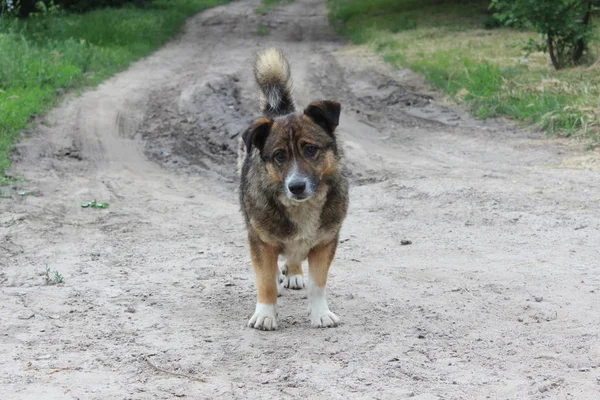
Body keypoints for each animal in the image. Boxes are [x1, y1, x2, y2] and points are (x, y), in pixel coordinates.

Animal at [239, 48, 350, 332]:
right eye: (279, 156)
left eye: (310, 149)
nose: (296, 186)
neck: (301, 207)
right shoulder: (260, 241)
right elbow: (265, 280)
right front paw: (265, 314)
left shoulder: (325, 242)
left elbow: (318, 283)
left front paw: (320, 313)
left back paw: (294, 273)